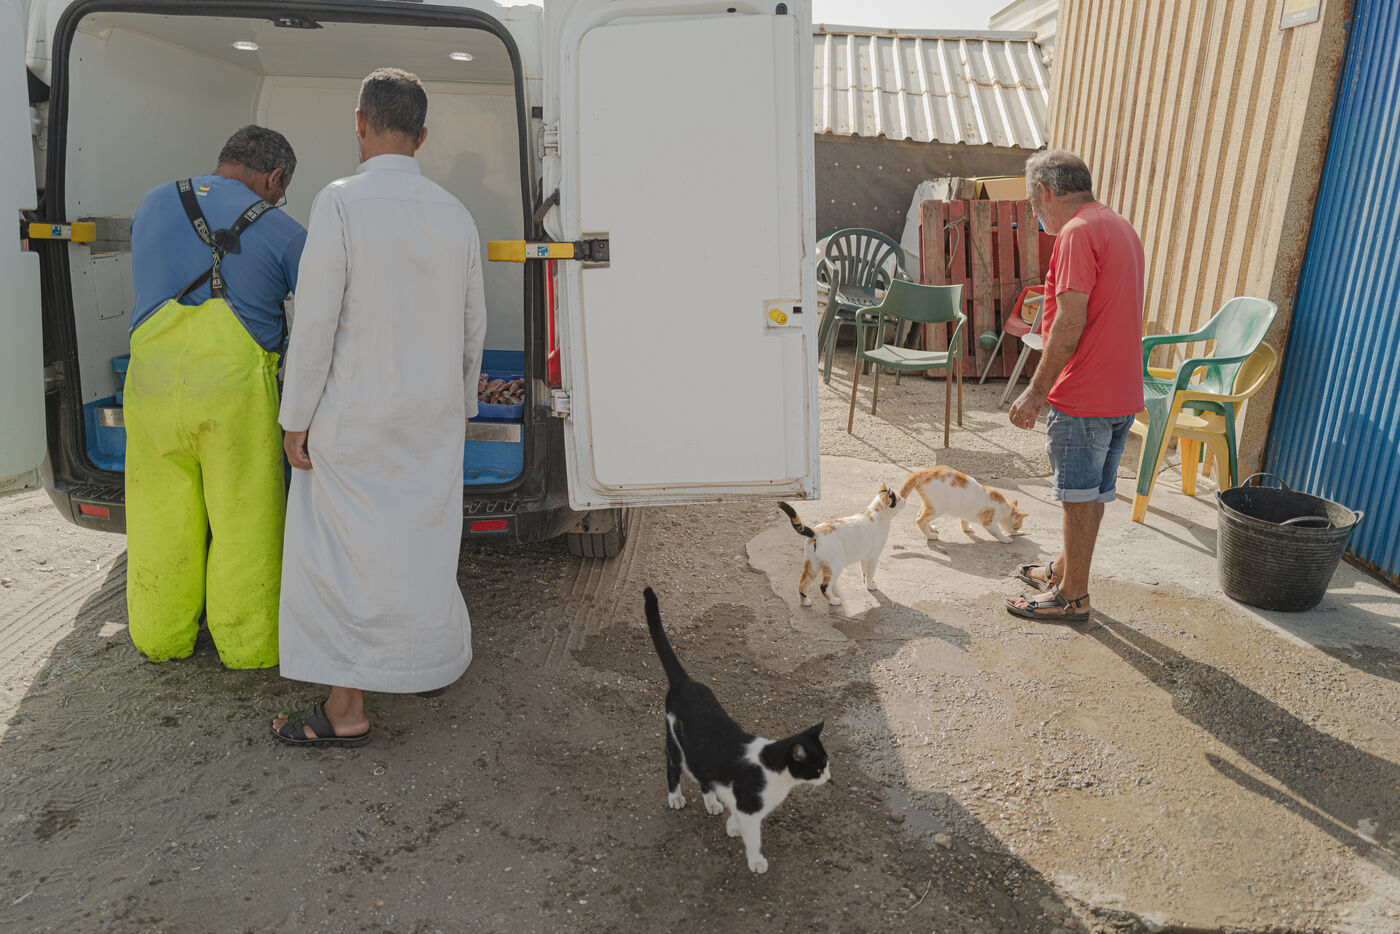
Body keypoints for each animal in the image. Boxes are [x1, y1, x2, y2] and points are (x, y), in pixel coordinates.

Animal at [644, 587, 829, 874]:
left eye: (826, 763)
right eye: (819, 767)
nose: (829, 777)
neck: (773, 771)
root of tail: (685, 683)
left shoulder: (742, 804)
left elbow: (736, 816)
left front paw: (732, 826)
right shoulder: (750, 808)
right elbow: (753, 837)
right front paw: (756, 860)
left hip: (701, 755)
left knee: (704, 777)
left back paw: (711, 802)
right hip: (675, 744)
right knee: (672, 767)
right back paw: (675, 797)